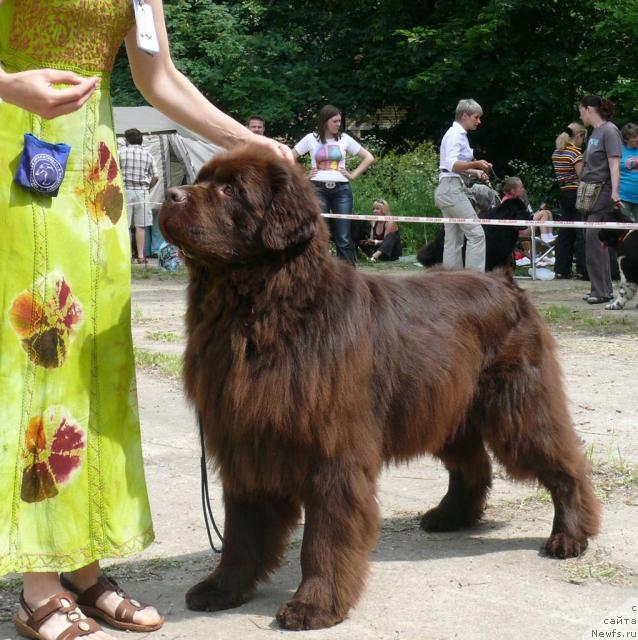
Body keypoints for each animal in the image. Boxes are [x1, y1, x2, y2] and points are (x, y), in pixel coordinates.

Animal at [159, 149, 600, 632]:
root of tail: (506, 282)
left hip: (517, 405)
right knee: (473, 466)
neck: (261, 314)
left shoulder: (332, 449)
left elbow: (324, 535)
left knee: (563, 464)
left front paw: (315, 605)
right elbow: (242, 529)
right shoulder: (246, 441)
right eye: (202, 180)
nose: (170, 194)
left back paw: (570, 537)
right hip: (445, 406)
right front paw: (222, 588)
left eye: (229, 189)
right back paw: (450, 517)